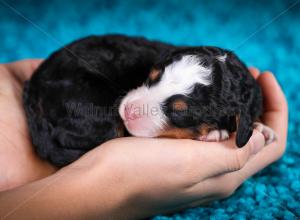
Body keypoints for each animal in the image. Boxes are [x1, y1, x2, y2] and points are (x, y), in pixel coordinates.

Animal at [24, 35, 276, 168]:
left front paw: (261, 127)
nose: (127, 111)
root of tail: (33, 85)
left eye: (179, 112)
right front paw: (216, 132)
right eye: (151, 77)